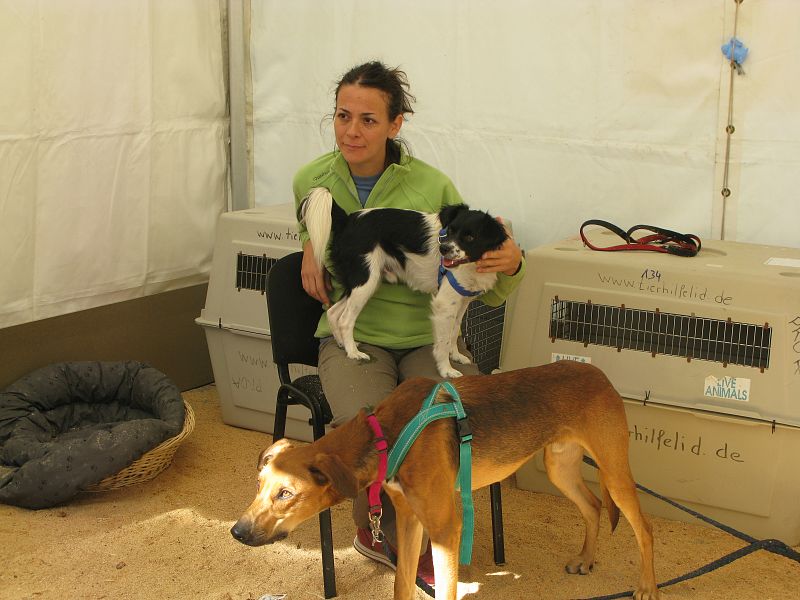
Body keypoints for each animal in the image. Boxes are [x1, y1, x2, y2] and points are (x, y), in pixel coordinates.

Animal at [228, 360, 660, 600]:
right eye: (259, 486)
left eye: (286, 493)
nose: (236, 532)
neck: (383, 436)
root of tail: (599, 373)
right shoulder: (409, 519)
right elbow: (402, 586)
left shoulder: (444, 528)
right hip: (560, 467)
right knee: (594, 505)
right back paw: (586, 559)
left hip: (614, 470)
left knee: (644, 526)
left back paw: (647, 587)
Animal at [300, 188, 506, 378]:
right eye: (450, 231)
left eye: (470, 237)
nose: (443, 249)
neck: (472, 264)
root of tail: (348, 220)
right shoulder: (444, 304)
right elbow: (443, 341)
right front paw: (446, 369)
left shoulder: (461, 302)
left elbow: (454, 331)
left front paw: (455, 355)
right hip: (365, 281)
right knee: (345, 319)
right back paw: (353, 353)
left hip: (360, 283)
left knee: (333, 312)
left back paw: (343, 343)